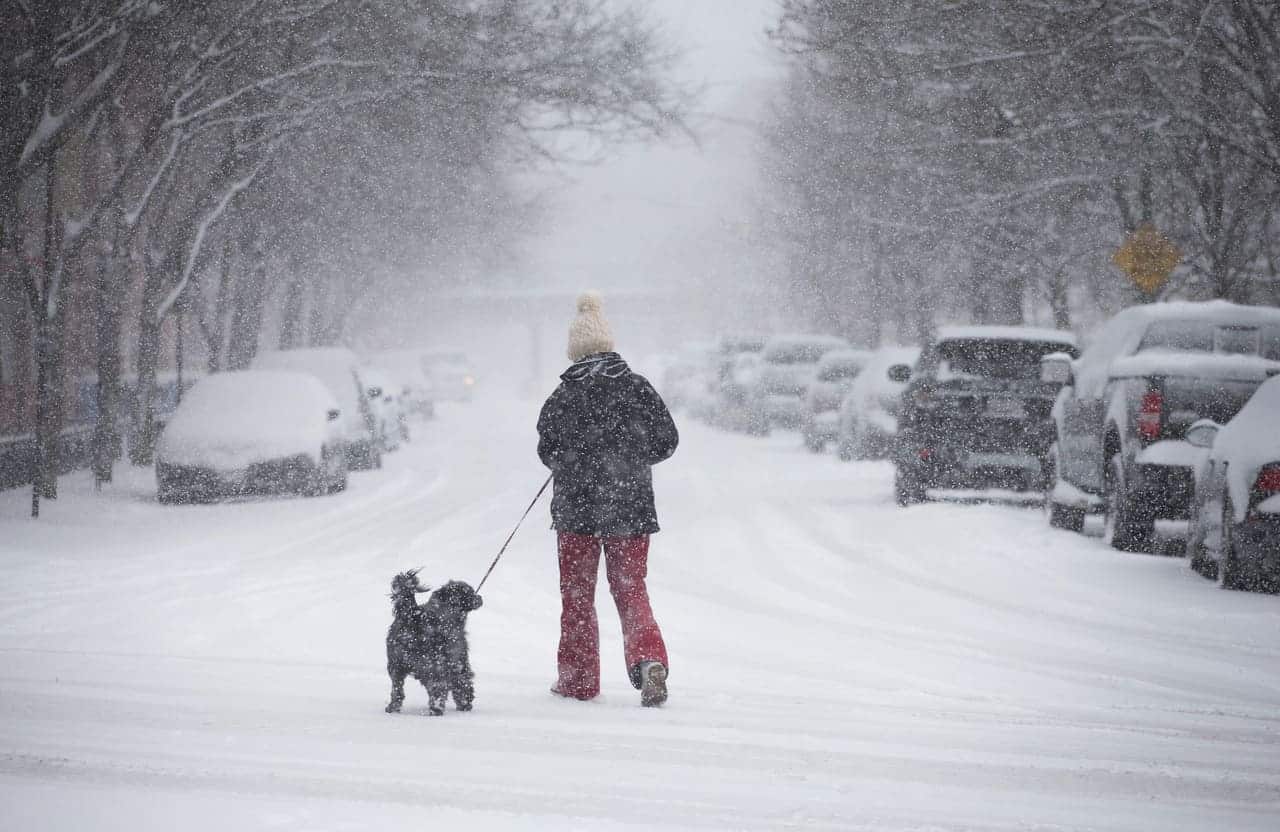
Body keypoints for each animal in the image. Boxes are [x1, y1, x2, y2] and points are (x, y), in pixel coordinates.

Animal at [381, 570, 481, 711]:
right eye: (470, 592)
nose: (480, 597)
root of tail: (413, 616)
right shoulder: (459, 660)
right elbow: (463, 682)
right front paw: (465, 703)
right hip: (434, 664)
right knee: (438, 689)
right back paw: (436, 709)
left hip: (395, 664)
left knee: (397, 689)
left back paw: (393, 707)